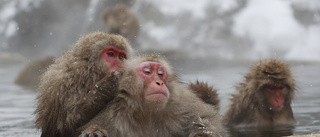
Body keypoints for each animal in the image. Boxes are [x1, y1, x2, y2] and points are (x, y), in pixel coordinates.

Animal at [78, 55, 226, 137]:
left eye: (161, 73)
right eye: (148, 72)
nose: (159, 82)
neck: (146, 112)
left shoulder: (180, 104)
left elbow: (207, 116)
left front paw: (203, 133)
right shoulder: (112, 115)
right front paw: (94, 133)